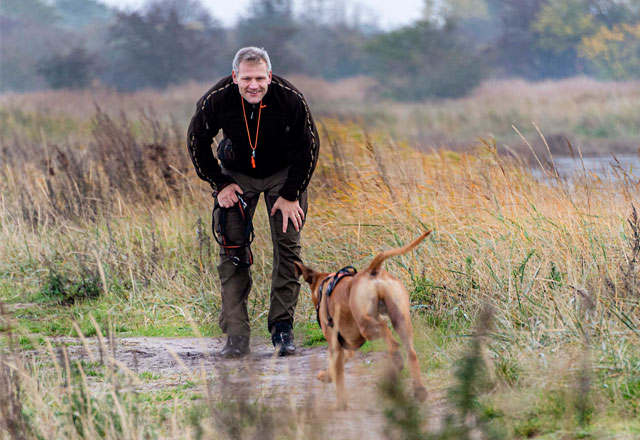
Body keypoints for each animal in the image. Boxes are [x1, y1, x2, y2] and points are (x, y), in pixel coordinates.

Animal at [296, 232, 430, 408]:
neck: (324, 285)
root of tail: (372, 270)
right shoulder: (348, 346)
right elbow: (335, 367)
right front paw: (325, 376)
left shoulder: (335, 344)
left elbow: (339, 377)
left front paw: (340, 404)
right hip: (401, 320)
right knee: (411, 353)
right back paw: (419, 390)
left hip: (366, 325)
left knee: (386, 331)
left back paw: (396, 358)